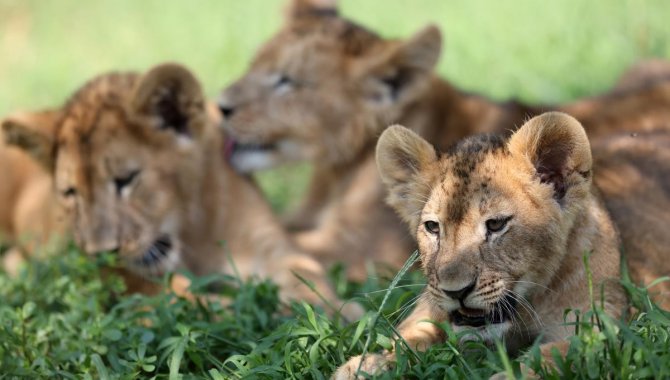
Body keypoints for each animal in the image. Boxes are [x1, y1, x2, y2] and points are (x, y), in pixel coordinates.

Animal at [2, 63, 362, 318]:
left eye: (126, 179)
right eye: (70, 193)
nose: (103, 251)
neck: (192, 231)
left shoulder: (273, 246)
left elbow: (308, 275)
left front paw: (337, 311)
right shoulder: (113, 273)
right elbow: (179, 298)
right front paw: (249, 311)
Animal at [334, 112, 632, 378]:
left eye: (496, 224)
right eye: (433, 227)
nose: (456, 291)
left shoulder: (597, 333)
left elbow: (547, 360)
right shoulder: (428, 310)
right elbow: (405, 340)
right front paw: (369, 365)